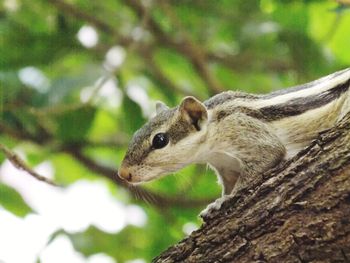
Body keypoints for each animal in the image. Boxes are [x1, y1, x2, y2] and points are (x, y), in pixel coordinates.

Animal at [118, 68, 350, 217]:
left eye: (160, 140)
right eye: (135, 134)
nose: (122, 174)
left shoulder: (246, 133)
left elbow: (267, 157)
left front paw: (223, 201)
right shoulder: (225, 168)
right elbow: (229, 185)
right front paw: (214, 205)